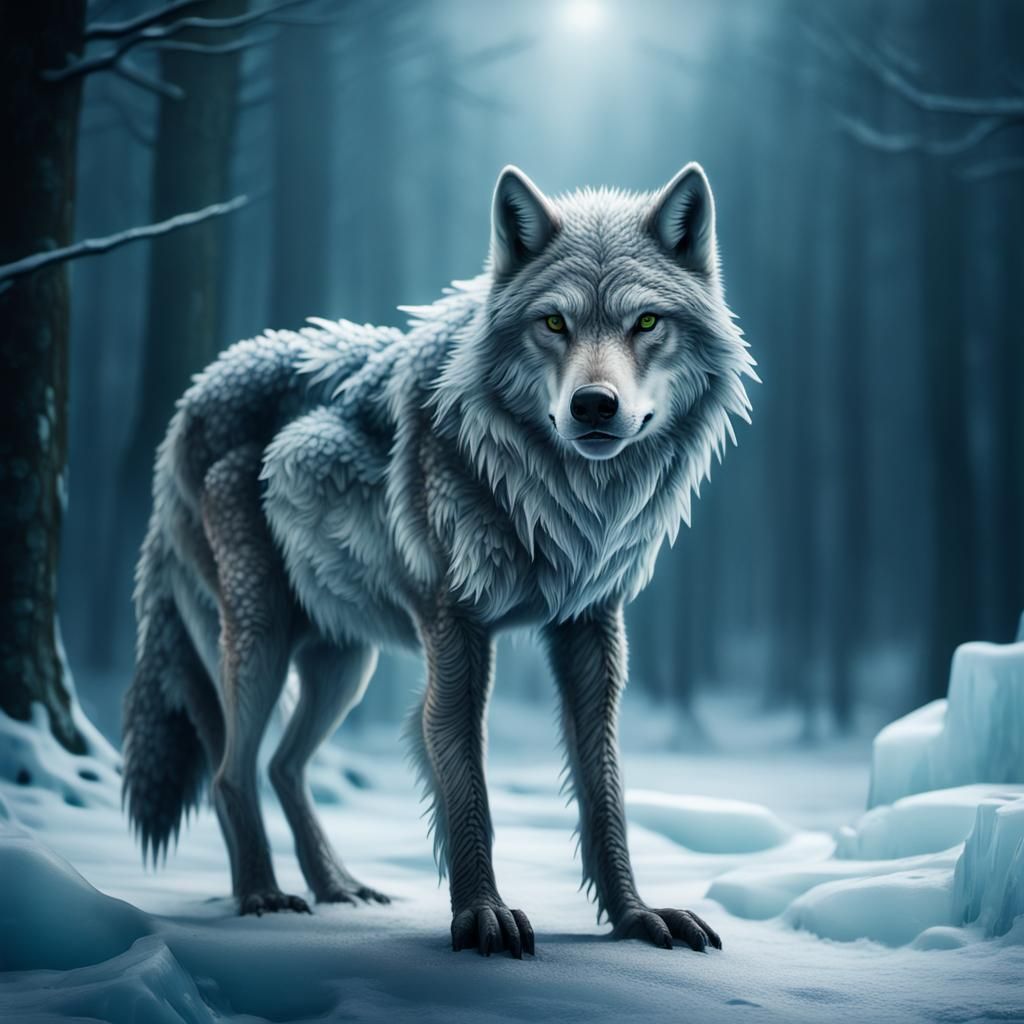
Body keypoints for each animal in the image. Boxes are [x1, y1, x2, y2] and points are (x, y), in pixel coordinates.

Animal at [122, 162, 755, 958]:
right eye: (554, 323)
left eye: (646, 323)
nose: (593, 405)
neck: (559, 498)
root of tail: (188, 406)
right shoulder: (457, 628)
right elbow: (465, 779)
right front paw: (481, 916)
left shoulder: (590, 628)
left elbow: (603, 785)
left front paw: (636, 916)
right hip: (261, 642)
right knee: (231, 773)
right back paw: (264, 895)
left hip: (343, 661)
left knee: (282, 765)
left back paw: (338, 888)